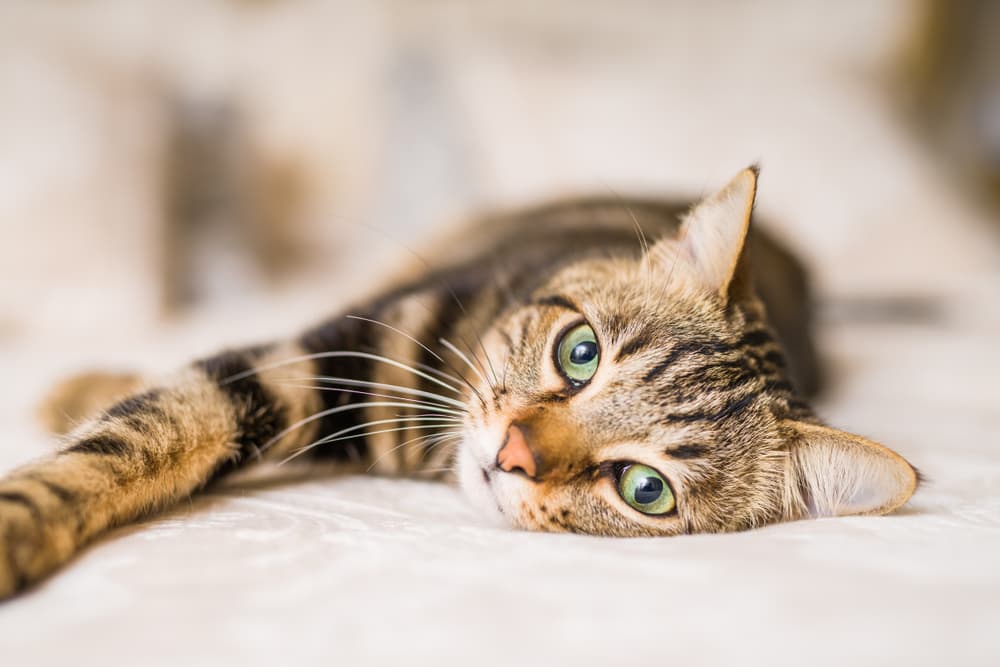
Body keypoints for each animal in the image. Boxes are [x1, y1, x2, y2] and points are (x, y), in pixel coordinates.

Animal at [0, 168, 920, 600]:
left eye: (644, 488)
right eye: (580, 353)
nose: (512, 453)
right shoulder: (316, 357)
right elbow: (149, 429)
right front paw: (23, 521)